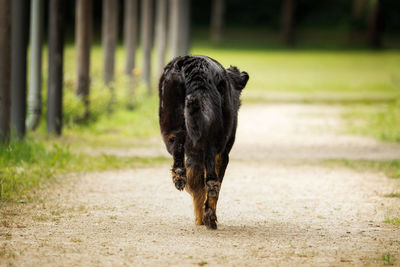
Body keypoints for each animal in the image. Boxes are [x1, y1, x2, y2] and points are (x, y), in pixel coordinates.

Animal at [159, 55, 247, 230]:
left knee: (177, 150)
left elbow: (196, 187)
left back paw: (178, 175)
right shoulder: (223, 155)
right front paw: (203, 218)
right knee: (213, 183)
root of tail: (192, 65)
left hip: (170, 127)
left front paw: (199, 218)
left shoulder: (194, 157)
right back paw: (210, 218)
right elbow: (204, 189)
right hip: (215, 142)